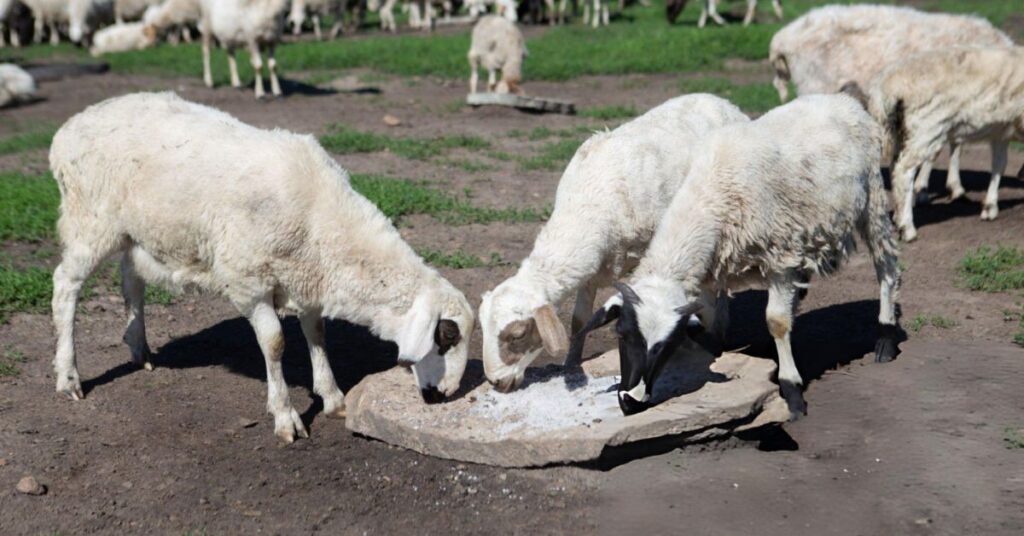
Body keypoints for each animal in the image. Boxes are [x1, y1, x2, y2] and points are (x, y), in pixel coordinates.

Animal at [48, 92, 474, 443]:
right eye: (446, 336)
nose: (445, 395)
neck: (324, 221)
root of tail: (70, 127)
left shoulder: (306, 277)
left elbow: (317, 333)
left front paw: (333, 397)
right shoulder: (248, 283)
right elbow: (274, 343)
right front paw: (286, 416)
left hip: (138, 230)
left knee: (131, 278)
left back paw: (139, 348)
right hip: (90, 219)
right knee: (65, 285)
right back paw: (68, 376)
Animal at [478, 94, 749, 392]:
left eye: (518, 334)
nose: (496, 382)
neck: (589, 205)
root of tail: (720, 100)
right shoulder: (593, 265)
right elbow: (579, 321)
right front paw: (571, 363)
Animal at [570, 94, 901, 418]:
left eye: (665, 347)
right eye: (621, 334)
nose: (631, 402)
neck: (712, 195)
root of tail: (841, 99)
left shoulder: (779, 259)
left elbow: (777, 321)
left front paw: (792, 392)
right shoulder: (710, 271)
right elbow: (709, 317)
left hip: (873, 197)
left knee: (886, 263)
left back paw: (886, 336)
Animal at [769, 5, 1014, 205]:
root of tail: (781, 39)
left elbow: (954, 143)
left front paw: (950, 186)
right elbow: (940, 148)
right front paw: (926, 189)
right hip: (814, 86)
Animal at [870, 47, 1024, 243]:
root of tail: (887, 86)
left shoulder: (1000, 129)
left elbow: (999, 165)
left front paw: (990, 207)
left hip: (900, 131)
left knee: (894, 168)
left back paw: (898, 216)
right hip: (926, 126)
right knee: (904, 170)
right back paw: (907, 228)